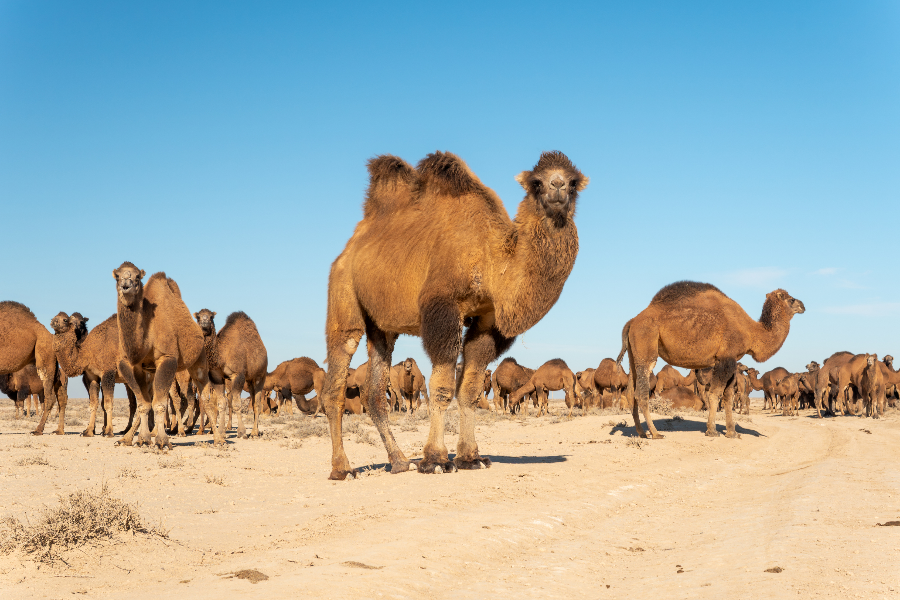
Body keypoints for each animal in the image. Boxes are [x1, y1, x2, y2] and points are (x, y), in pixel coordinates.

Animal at [0, 300, 67, 436]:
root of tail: (50, 335)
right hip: (54, 366)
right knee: (61, 397)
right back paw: (59, 430)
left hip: (44, 353)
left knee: (49, 398)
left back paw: (38, 430)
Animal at [111, 260, 221, 448]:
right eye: (117, 276)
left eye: (138, 277)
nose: (126, 286)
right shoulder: (129, 364)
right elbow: (143, 404)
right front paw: (141, 439)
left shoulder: (167, 358)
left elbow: (160, 404)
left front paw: (162, 441)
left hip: (198, 359)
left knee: (205, 397)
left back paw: (219, 439)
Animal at [320, 152, 588, 480]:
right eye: (537, 182)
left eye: (573, 182)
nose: (558, 187)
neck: (492, 259)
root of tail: (347, 251)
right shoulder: (443, 309)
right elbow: (443, 387)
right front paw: (435, 459)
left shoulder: (487, 320)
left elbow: (470, 389)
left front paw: (470, 457)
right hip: (344, 294)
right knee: (336, 376)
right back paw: (342, 468)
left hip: (382, 325)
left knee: (375, 390)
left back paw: (399, 461)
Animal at [616, 284, 804, 438]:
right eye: (791, 299)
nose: (803, 305)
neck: (751, 331)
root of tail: (632, 322)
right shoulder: (725, 358)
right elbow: (715, 394)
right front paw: (712, 430)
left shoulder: (731, 361)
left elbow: (728, 396)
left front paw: (732, 432)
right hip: (646, 345)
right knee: (641, 392)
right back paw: (655, 433)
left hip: (634, 354)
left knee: (631, 390)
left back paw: (641, 432)